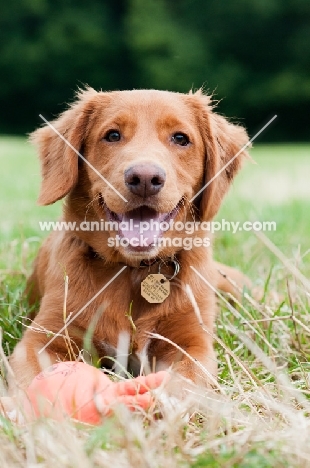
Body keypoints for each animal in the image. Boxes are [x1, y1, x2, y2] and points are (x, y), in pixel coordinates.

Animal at [9, 88, 251, 392]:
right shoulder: (43, 337)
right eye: (112, 135)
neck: (135, 270)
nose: (145, 178)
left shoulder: (192, 343)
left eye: (181, 138)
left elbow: (184, 383)